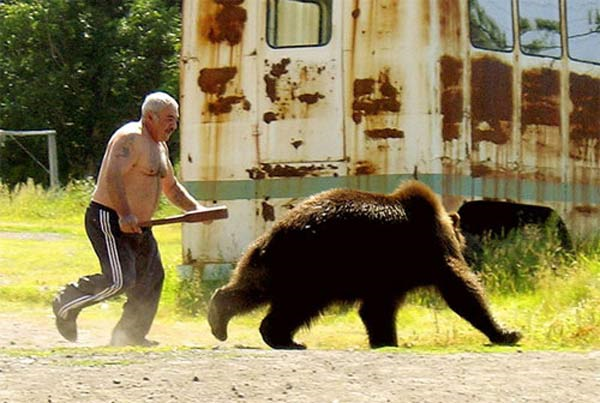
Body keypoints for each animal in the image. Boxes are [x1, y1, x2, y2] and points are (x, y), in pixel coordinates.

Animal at [209, 181, 524, 350]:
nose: (469, 243)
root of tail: (277, 231)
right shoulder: (428, 249)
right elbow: (460, 288)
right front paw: (507, 332)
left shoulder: (387, 276)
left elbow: (376, 310)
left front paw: (385, 340)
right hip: (315, 264)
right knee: (299, 305)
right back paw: (282, 337)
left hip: (275, 263)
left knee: (253, 288)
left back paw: (222, 319)